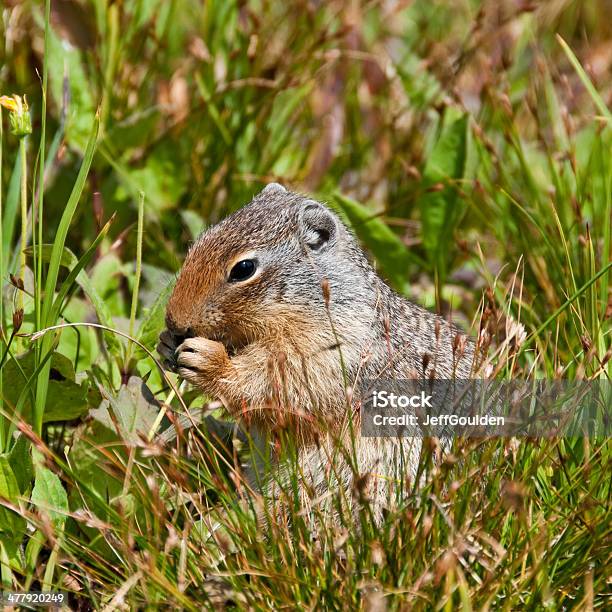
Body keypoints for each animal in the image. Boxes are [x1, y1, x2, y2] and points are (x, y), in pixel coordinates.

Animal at [157, 183, 474, 520]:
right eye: (198, 242)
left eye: (244, 268)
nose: (174, 321)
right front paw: (166, 343)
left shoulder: (327, 354)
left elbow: (274, 388)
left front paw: (208, 360)